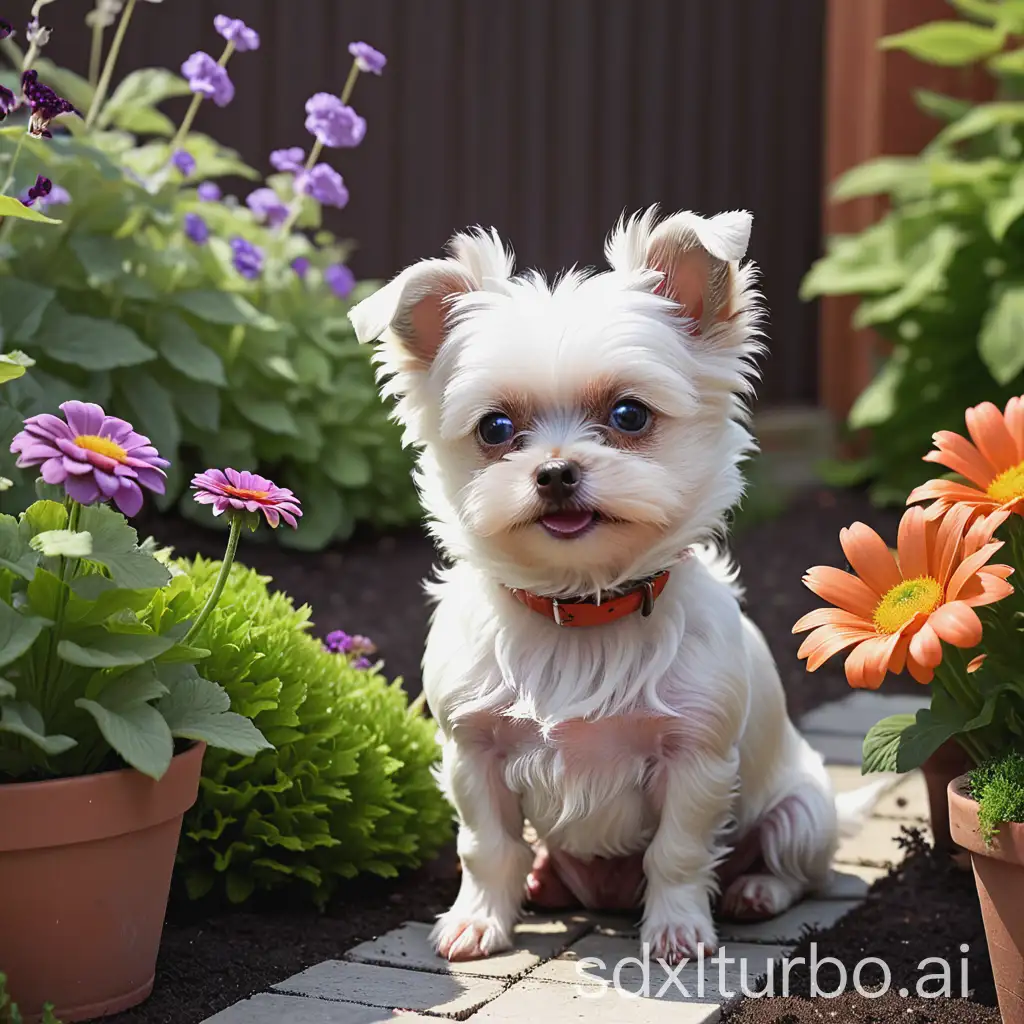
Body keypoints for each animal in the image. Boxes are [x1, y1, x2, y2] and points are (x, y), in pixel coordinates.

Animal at [352, 205, 847, 958]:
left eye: (629, 415)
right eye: (495, 427)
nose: (556, 471)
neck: (580, 607)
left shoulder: (696, 760)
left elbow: (678, 853)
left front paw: (676, 930)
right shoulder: (473, 754)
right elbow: (486, 848)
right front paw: (478, 919)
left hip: (804, 813)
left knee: (791, 869)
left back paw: (754, 891)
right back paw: (544, 883)